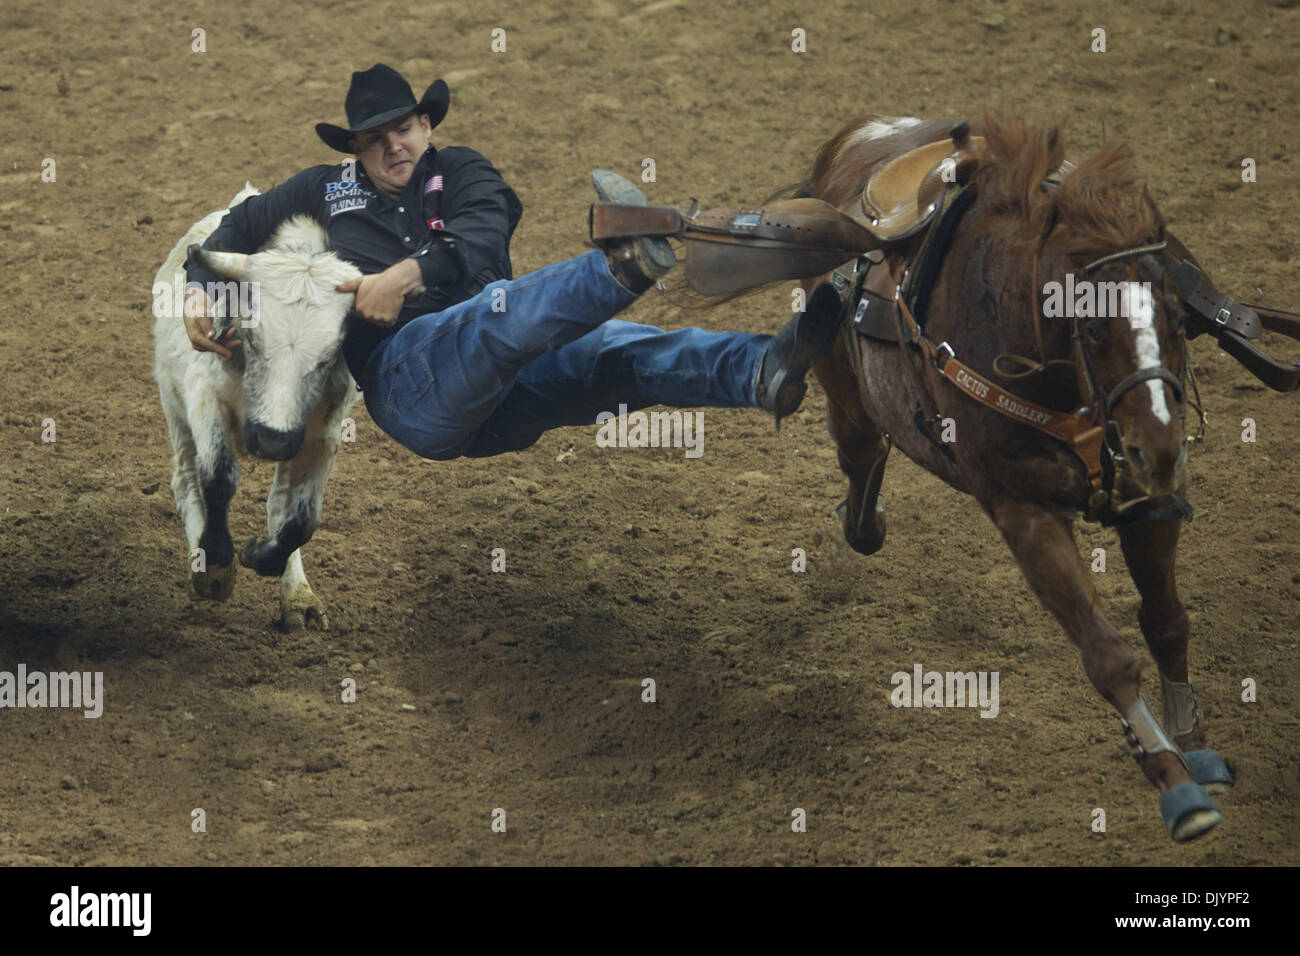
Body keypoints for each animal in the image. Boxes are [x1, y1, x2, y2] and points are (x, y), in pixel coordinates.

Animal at [795, 113, 1232, 842]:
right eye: (1092, 325)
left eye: (1176, 313)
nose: (1162, 448)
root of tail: (858, 137)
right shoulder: (1022, 510)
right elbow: (1108, 655)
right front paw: (1174, 783)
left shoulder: (1150, 504)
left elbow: (1167, 620)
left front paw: (1192, 743)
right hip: (846, 392)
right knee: (862, 460)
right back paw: (863, 523)